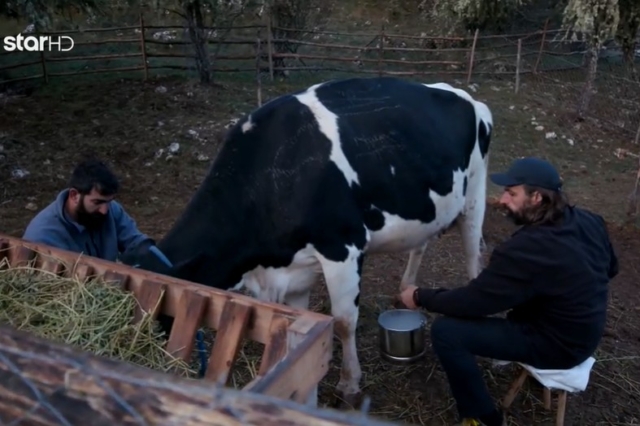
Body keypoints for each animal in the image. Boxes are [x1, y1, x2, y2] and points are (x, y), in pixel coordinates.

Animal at [120, 76, 492, 410]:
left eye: (163, 309)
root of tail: (462, 94)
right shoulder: (292, 267)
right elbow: (294, 317)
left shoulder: (342, 247)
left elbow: (343, 321)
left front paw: (349, 385)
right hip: (430, 206)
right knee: (421, 244)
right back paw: (405, 288)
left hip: (474, 198)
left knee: (474, 259)